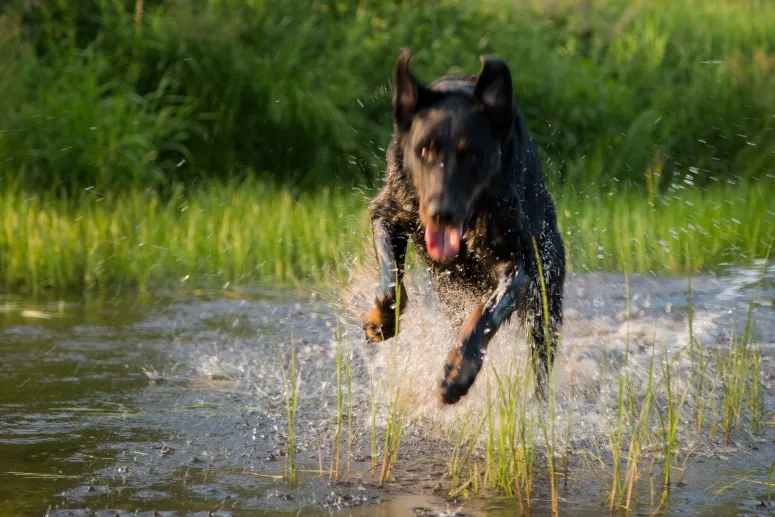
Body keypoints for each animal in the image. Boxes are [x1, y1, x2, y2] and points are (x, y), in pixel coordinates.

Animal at [360, 48, 568, 404]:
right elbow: (390, 283)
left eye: (472, 155)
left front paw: (459, 372)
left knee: (541, 362)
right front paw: (381, 320)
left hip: (546, 296)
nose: (441, 213)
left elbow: (485, 315)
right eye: (424, 150)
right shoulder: (388, 213)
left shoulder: (519, 267)